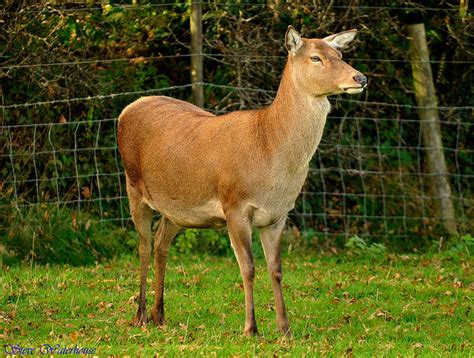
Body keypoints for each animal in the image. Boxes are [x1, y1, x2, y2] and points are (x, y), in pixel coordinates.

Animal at [117, 25, 366, 336]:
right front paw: (251, 328)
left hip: (178, 208)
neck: (269, 150)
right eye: (316, 57)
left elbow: (276, 269)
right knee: (143, 245)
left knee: (162, 243)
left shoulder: (278, 215)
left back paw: (159, 315)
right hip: (133, 187)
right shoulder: (234, 205)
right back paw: (139, 315)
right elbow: (248, 267)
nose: (360, 78)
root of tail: (127, 109)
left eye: (340, 54)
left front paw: (285, 329)